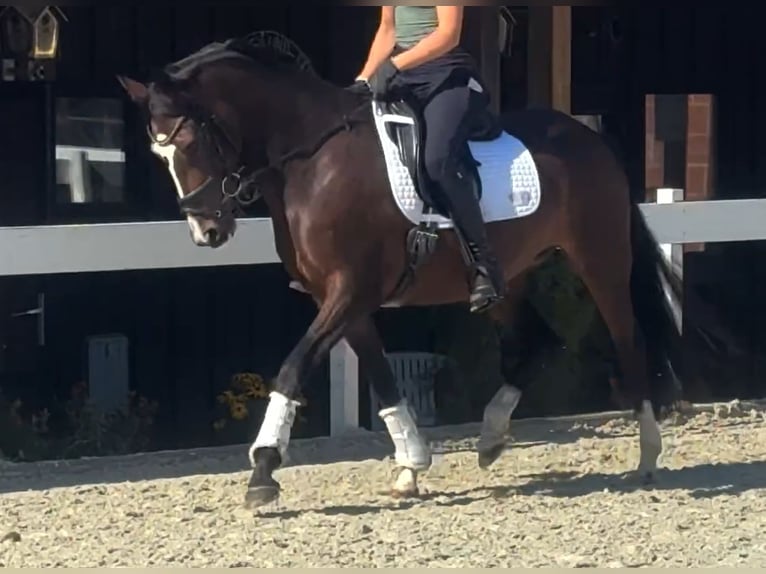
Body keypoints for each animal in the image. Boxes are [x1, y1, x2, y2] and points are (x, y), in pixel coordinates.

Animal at [117, 33, 688, 510]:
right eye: (158, 153)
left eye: (188, 143)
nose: (207, 232)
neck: (311, 161)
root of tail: (590, 139)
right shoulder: (340, 298)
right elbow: (384, 380)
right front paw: (411, 465)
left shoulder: (350, 290)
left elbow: (293, 368)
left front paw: (263, 469)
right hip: (506, 277)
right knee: (536, 342)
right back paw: (490, 438)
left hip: (601, 261)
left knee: (628, 338)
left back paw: (647, 455)